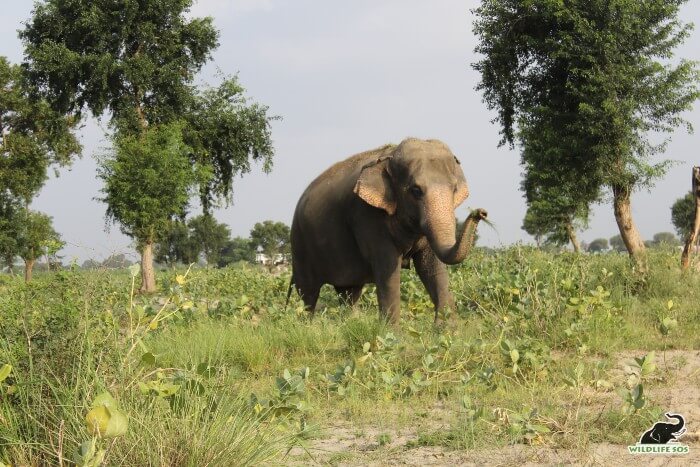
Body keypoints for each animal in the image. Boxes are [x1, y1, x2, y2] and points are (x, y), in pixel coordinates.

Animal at [284, 137, 486, 324]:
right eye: (416, 190)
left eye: (454, 189)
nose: (480, 212)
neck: (389, 157)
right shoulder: (367, 215)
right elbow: (388, 268)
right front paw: (392, 335)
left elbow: (432, 266)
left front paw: (447, 331)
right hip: (300, 243)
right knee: (308, 293)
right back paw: (306, 327)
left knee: (349, 292)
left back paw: (351, 322)